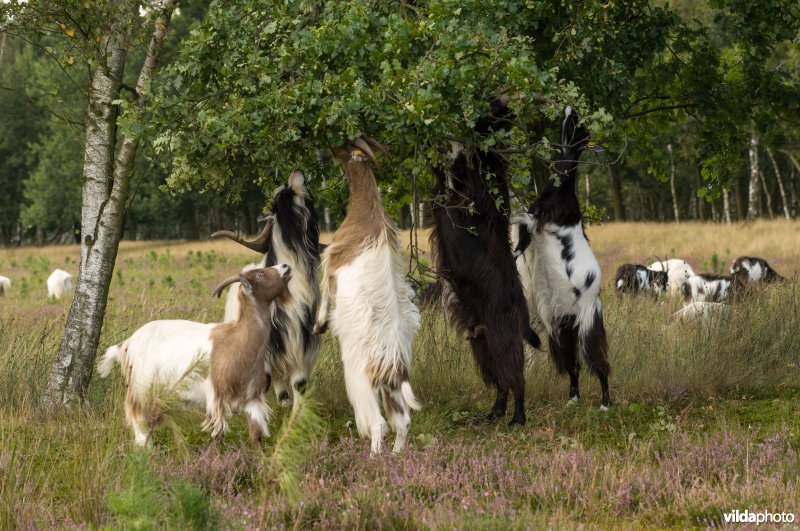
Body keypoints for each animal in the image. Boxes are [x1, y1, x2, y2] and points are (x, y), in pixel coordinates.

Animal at [97, 264, 290, 446]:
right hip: (140, 387)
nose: (286, 266)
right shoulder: (217, 396)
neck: (238, 339)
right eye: (260, 274)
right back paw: (145, 447)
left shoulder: (252, 398)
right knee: (135, 415)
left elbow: (256, 435)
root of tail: (127, 344)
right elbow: (217, 435)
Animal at [314, 138, 422, 458]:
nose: (329, 148)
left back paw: (374, 457)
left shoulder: (332, 261)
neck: (367, 213)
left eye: (343, 146)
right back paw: (397, 455)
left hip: (361, 380)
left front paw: (319, 324)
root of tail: (394, 365)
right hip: (392, 388)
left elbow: (325, 291)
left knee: (379, 423)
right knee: (402, 420)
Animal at [428, 96, 540, 428]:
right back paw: (495, 412)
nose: (501, 101)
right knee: (501, 382)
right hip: (482, 343)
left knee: (516, 379)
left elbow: (452, 165)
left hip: (502, 338)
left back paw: (517, 417)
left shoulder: (460, 189)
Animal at [512, 106, 612, 410]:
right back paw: (572, 399)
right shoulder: (535, 218)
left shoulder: (540, 217)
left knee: (599, 362)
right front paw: (517, 249)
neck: (563, 185)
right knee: (573, 365)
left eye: (577, 125)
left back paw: (605, 403)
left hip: (586, 325)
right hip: (560, 328)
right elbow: (521, 224)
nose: (570, 107)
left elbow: (520, 217)